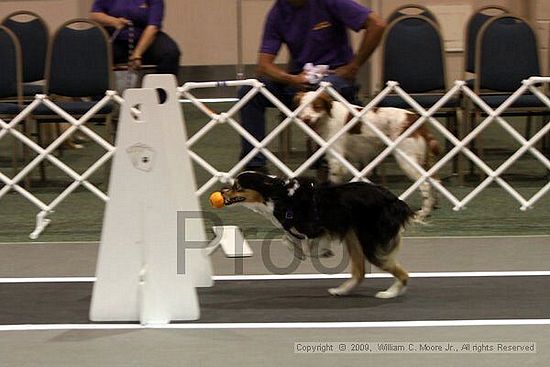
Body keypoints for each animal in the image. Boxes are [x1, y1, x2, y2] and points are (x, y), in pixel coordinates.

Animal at [222, 172, 416, 300]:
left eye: (237, 187)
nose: (222, 192)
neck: (278, 195)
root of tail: (396, 201)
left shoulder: (315, 228)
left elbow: (303, 244)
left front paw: (316, 252)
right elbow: (286, 238)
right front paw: (302, 251)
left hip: (370, 242)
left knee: (401, 273)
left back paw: (390, 293)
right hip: (353, 237)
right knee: (360, 272)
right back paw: (341, 291)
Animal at [296, 91, 442, 220]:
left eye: (316, 106)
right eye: (302, 107)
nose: (306, 119)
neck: (327, 118)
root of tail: (414, 118)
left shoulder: (336, 161)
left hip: (406, 160)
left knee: (425, 184)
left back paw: (423, 213)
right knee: (435, 180)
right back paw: (432, 207)